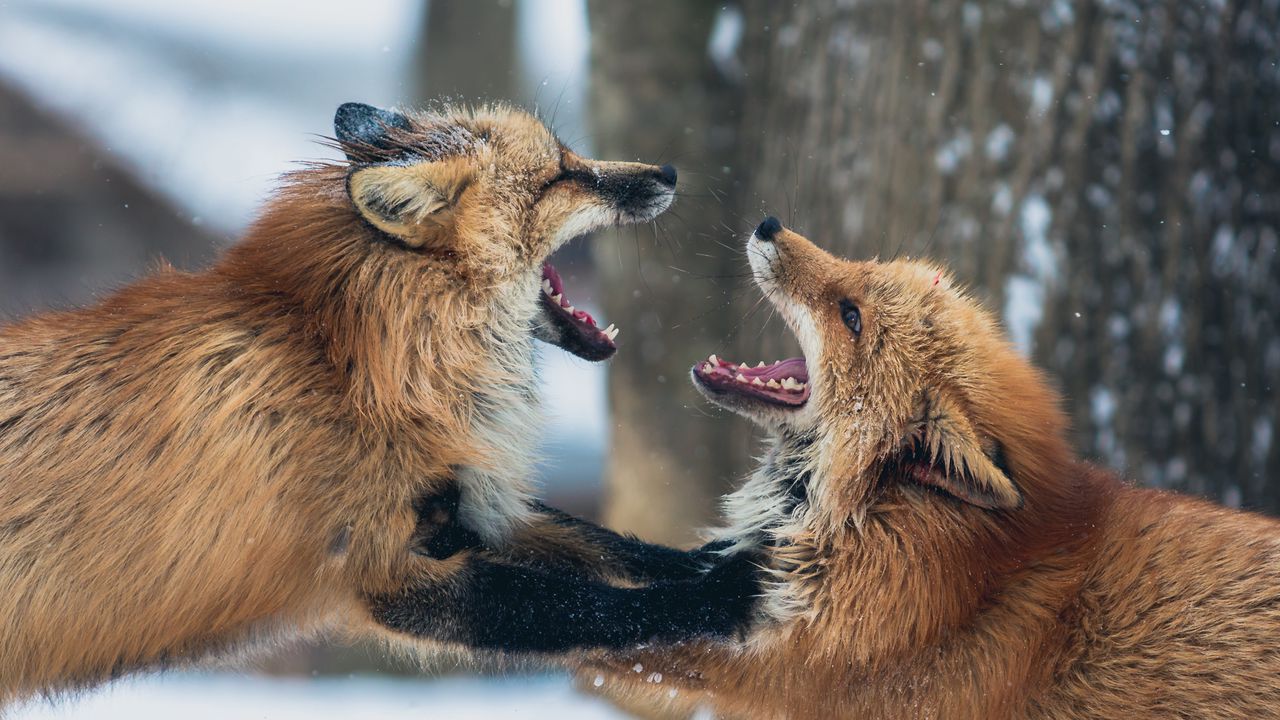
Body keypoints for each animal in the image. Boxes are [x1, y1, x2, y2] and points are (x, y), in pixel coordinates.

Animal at [0, 101, 757, 702]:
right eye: (558, 176)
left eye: (569, 156)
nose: (669, 173)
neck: (355, 367)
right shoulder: (393, 571)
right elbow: (595, 607)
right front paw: (726, 595)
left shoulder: (470, 507)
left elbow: (612, 547)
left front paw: (721, 557)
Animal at [583, 215, 1280, 712]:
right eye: (863, 267)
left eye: (852, 317)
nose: (769, 223)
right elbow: (623, 554)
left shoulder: (779, 667)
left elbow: (607, 626)